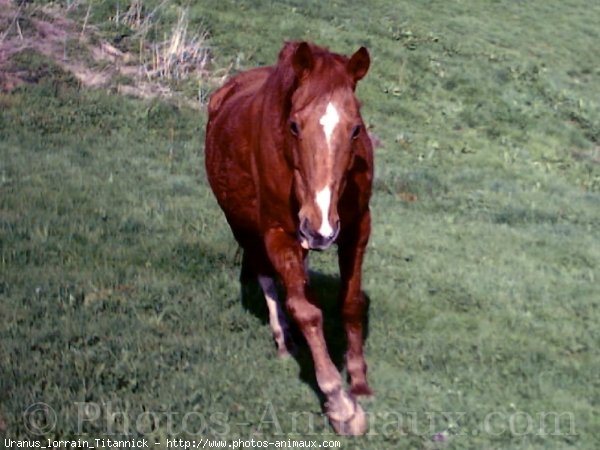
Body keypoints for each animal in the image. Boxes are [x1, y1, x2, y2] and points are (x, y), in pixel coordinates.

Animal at [206, 42, 376, 436]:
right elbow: (306, 311)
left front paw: (359, 382)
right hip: (245, 226)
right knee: (267, 277)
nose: (320, 227)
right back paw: (283, 339)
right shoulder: (278, 234)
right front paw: (340, 402)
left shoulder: (358, 228)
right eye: (294, 125)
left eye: (356, 129)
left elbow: (351, 303)